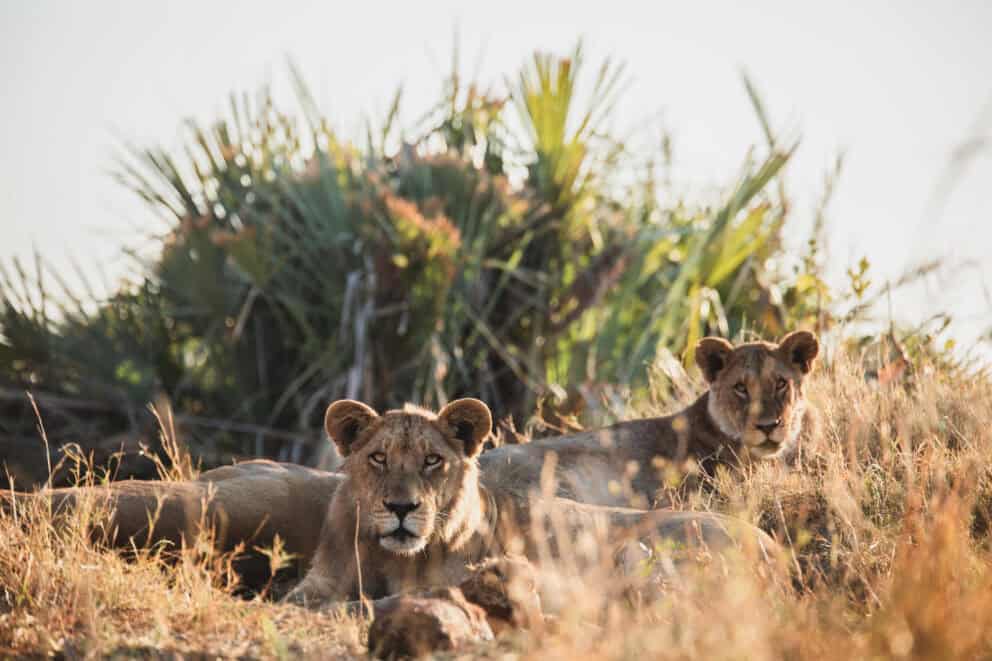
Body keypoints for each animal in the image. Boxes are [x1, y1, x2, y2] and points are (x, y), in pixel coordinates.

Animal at [284, 398, 780, 606]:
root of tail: (775, 548)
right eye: (379, 458)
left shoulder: (447, 582)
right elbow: (296, 600)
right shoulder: (321, 578)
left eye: (431, 461)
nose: (402, 508)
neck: (389, 556)